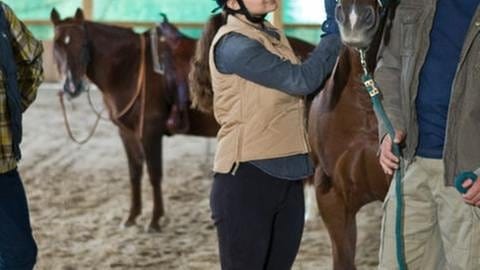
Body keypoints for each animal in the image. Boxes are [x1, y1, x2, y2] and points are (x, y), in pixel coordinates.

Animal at [50, 8, 219, 232]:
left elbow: (154, 174)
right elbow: (135, 172)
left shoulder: (150, 131)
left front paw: (155, 220)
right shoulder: (126, 132)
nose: (71, 87)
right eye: (56, 45)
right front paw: (131, 217)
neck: (131, 67)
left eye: (84, 45)